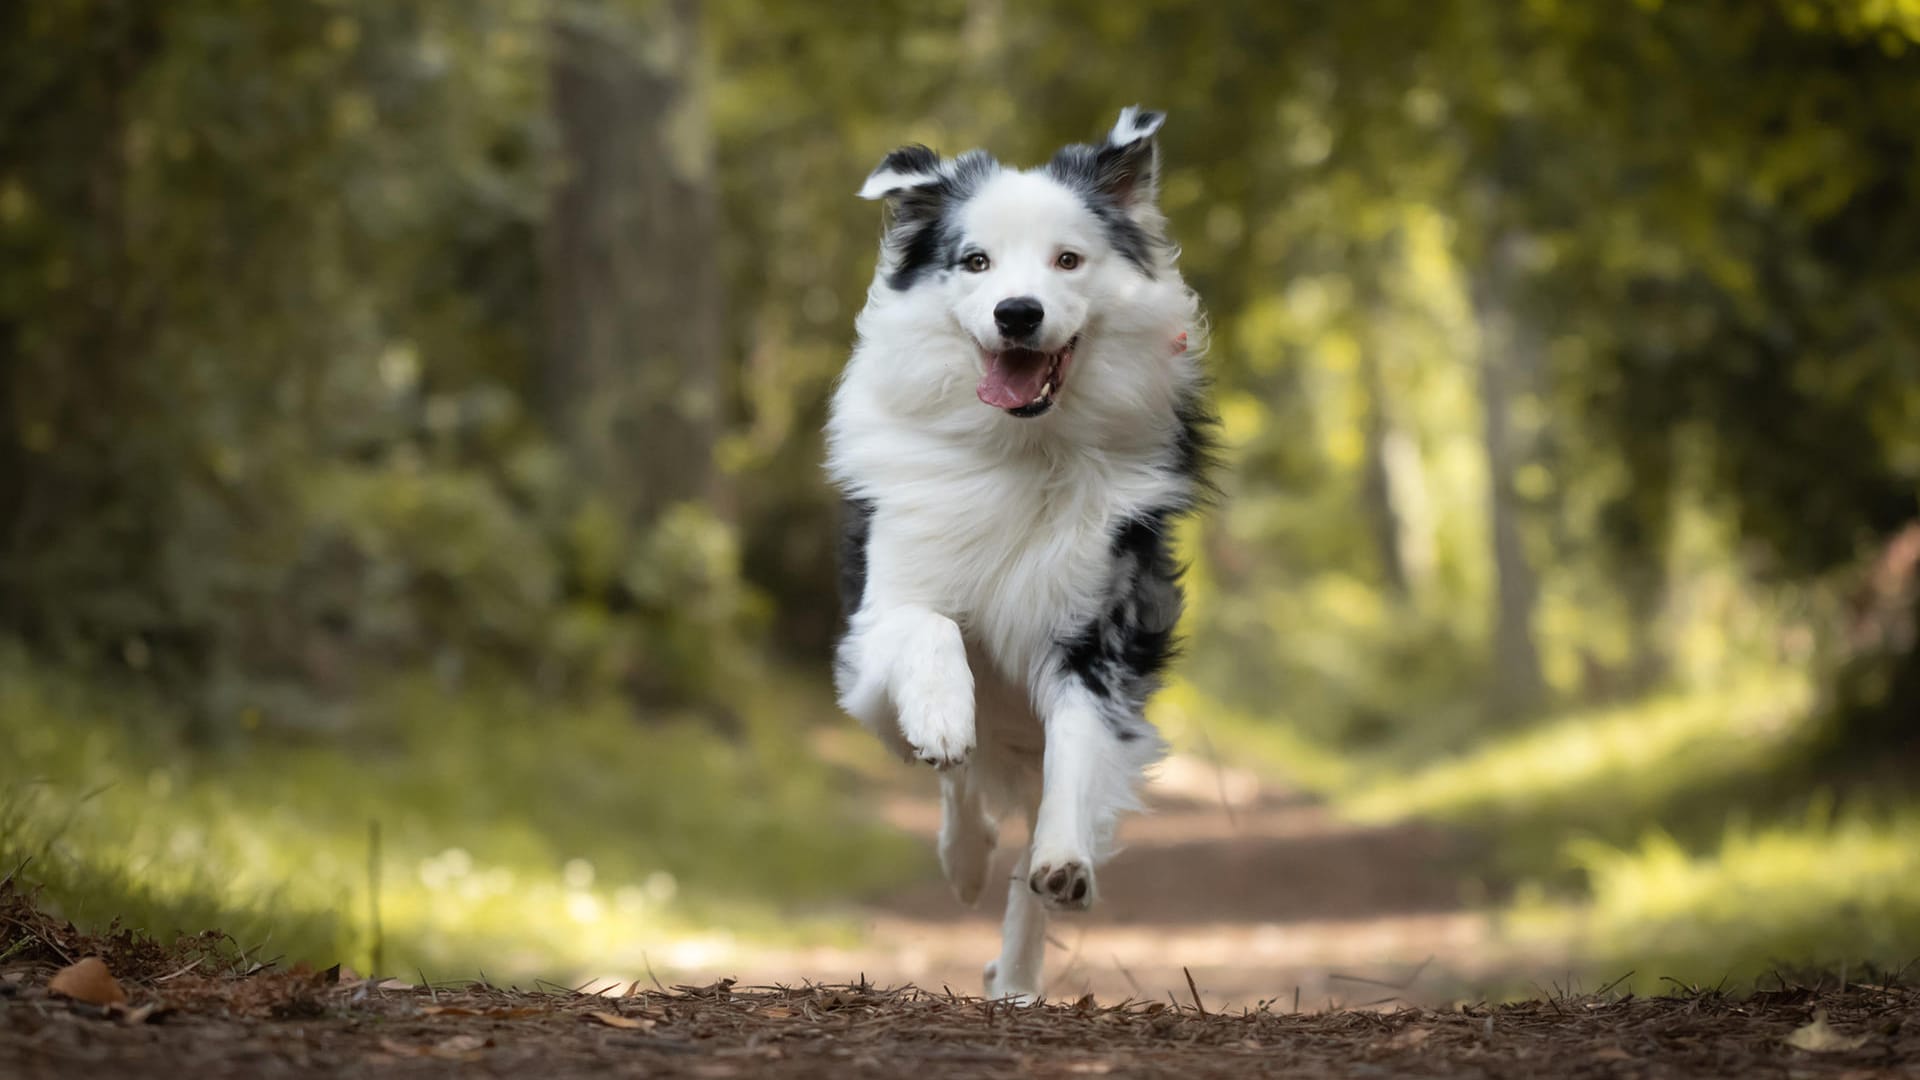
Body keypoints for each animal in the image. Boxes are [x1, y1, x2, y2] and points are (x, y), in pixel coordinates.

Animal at [825, 107, 1213, 999]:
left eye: (1068, 258)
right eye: (976, 261)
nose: (1017, 313)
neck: (1022, 449)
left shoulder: (1095, 640)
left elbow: (1076, 751)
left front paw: (1064, 860)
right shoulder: (876, 624)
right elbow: (931, 632)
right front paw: (942, 715)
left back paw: (1018, 969)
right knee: (959, 785)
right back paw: (962, 851)